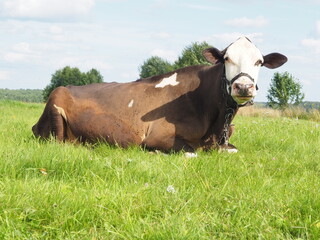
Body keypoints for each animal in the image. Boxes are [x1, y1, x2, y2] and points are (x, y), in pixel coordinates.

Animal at [32, 37, 288, 154]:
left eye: (260, 62)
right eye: (226, 58)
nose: (243, 86)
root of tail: (68, 86)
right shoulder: (157, 137)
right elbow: (190, 151)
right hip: (55, 103)